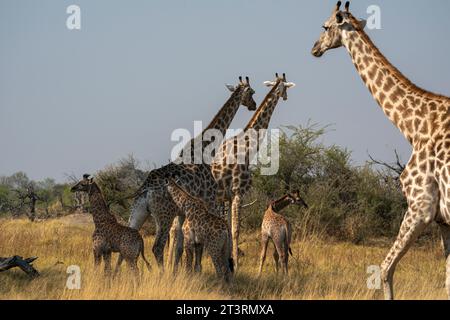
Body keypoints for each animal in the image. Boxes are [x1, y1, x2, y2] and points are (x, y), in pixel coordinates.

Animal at [128, 77, 258, 270]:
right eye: (252, 92)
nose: (253, 105)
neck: (205, 148)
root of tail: (145, 189)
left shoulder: (184, 212)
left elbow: (181, 246)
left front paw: (181, 272)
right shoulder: (210, 200)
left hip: (139, 212)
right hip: (164, 215)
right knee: (157, 247)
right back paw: (161, 274)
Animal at [213, 73, 298, 270]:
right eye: (286, 87)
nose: (286, 97)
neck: (247, 149)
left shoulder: (228, 197)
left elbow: (230, 228)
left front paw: (231, 260)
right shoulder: (238, 192)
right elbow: (236, 230)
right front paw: (236, 264)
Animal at [312, 1, 450, 300]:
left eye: (325, 27)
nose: (314, 47)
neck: (413, 127)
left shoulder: (420, 206)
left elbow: (385, 270)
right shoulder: (443, 219)